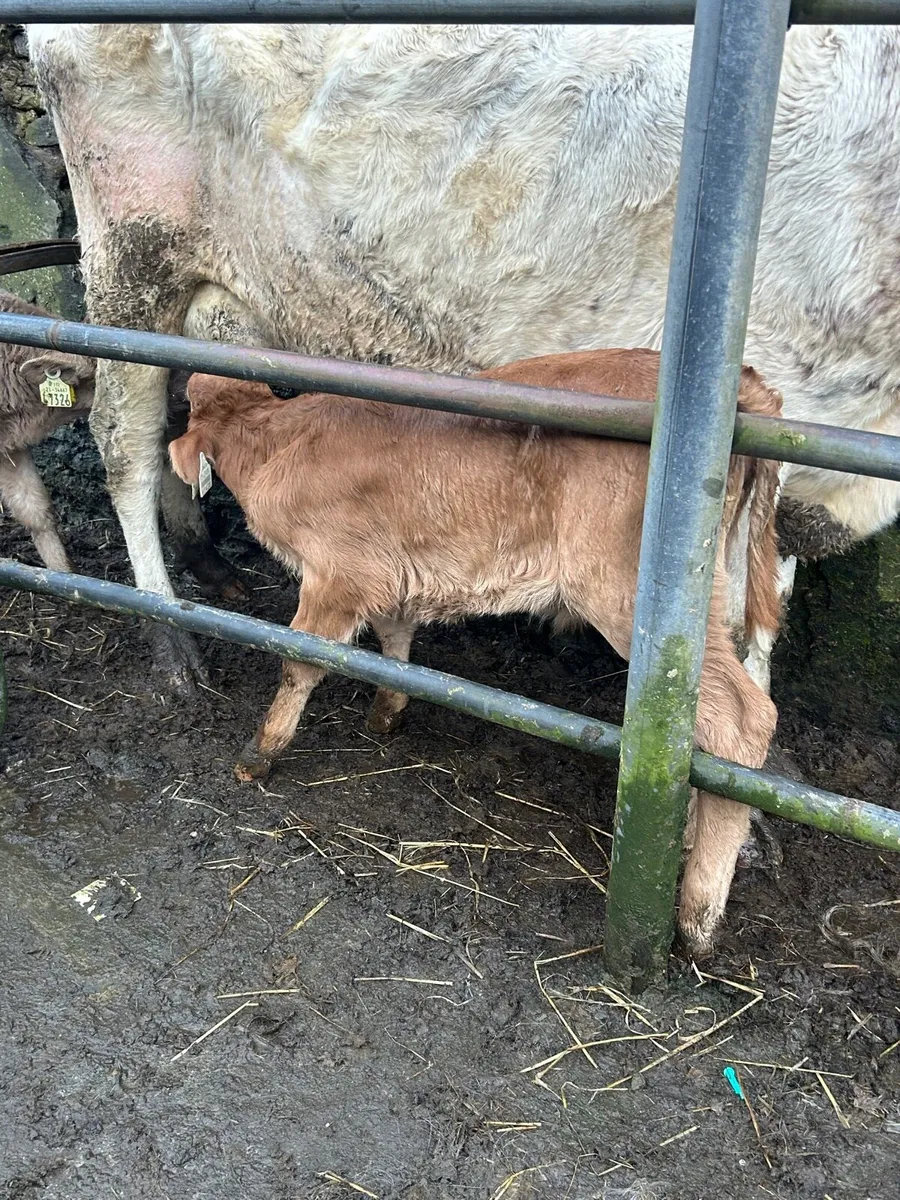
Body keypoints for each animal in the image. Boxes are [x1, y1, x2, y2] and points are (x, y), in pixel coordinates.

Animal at [168, 347, 783, 954]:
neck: (276, 439)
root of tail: (749, 387)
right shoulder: (387, 573)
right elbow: (394, 638)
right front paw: (388, 710)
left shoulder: (336, 576)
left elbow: (299, 663)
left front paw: (260, 751)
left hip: (628, 593)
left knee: (742, 720)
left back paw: (698, 917)